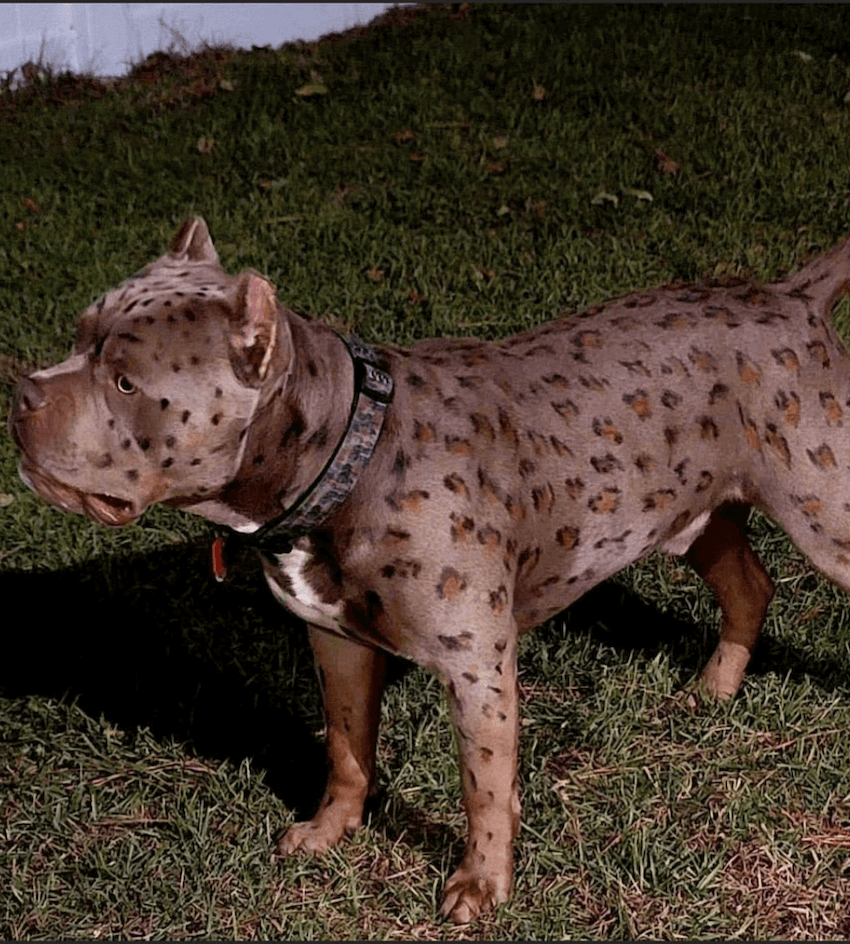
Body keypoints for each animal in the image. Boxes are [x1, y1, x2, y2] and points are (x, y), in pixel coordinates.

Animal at [11, 219, 848, 920]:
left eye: (125, 381)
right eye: (78, 336)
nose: (19, 392)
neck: (348, 452)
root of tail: (791, 296)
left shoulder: (477, 667)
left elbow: (483, 787)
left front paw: (481, 885)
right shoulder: (338, 646)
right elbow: (348, 752)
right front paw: (329, 832)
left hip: (824, 518)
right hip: (695, 519)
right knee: (752, 586)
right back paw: (714, 689)